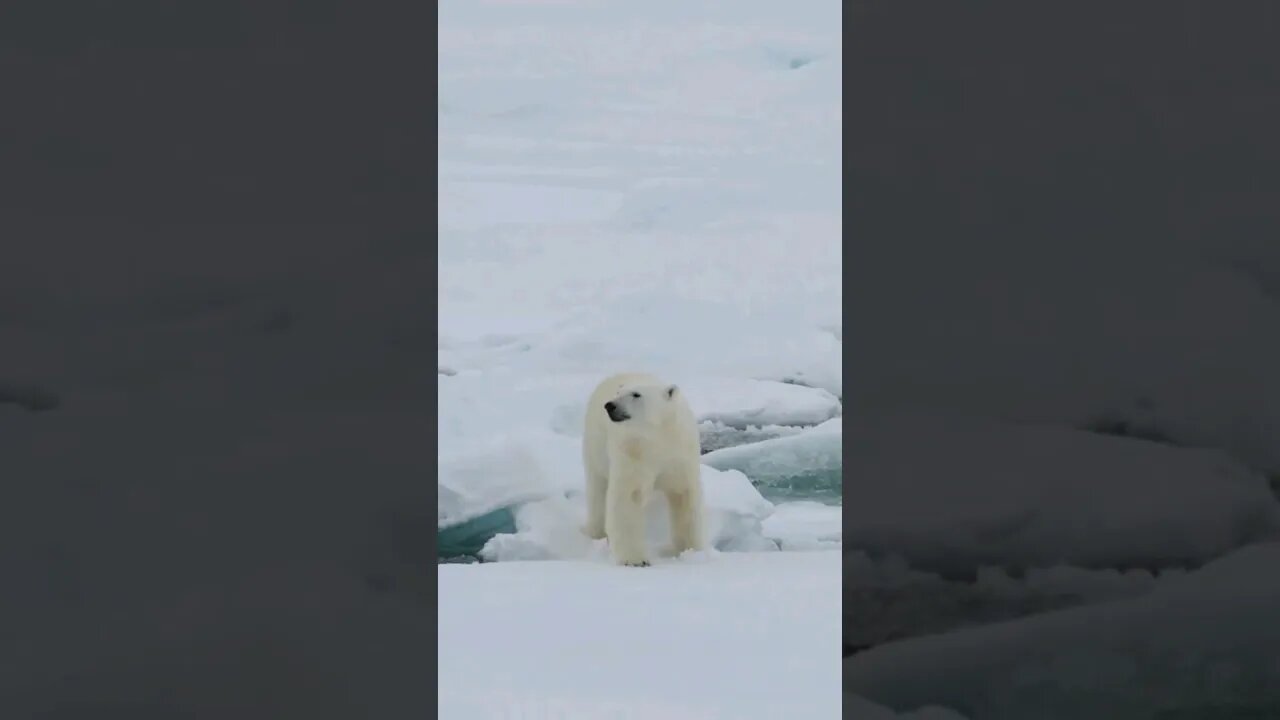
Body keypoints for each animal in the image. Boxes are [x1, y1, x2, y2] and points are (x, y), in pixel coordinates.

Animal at [583, 371, 706, 563]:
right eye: (618, 392)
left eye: (636, 394)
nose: (610, 405)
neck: (656, 437)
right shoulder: (633, 453)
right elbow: (628, 497)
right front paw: (636, 560)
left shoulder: (680, 454)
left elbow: (684, 496)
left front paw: (691, 550)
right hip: (595, 447)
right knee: (598, 490)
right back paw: (597, 533)